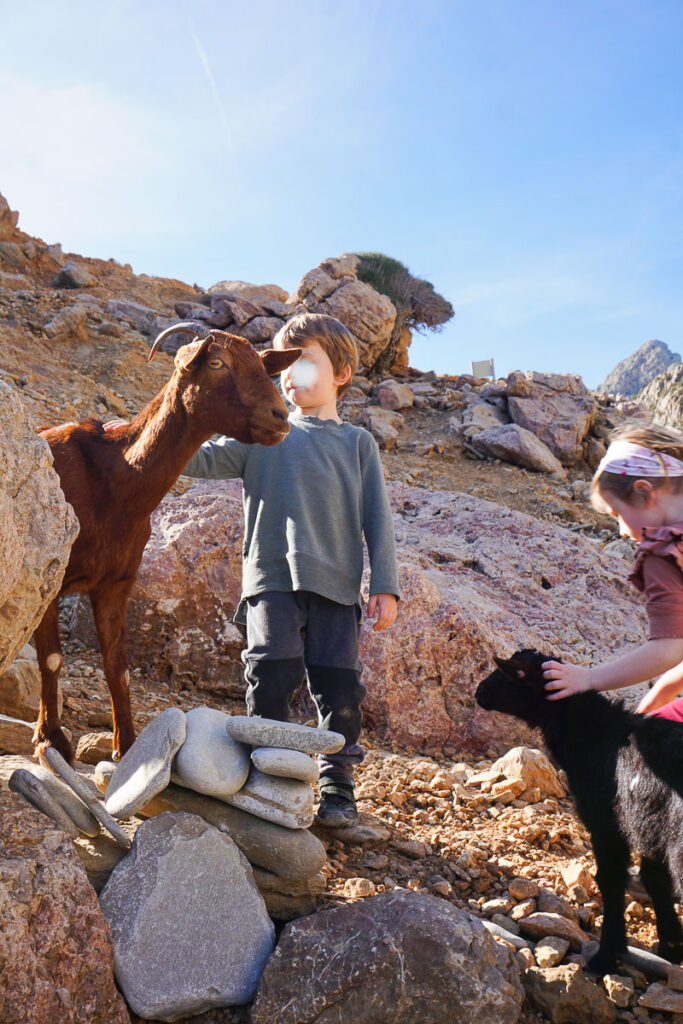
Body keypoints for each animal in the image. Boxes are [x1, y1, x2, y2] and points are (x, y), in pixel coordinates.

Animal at [32, 323, 299, 765]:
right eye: (216, 362)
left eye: (264, 366)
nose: (280, 417)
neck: (114, 480)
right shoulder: (49, 578)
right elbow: (52, 657)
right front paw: (51, 740)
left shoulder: (115, 584)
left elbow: (118, 668)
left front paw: (128, 747)